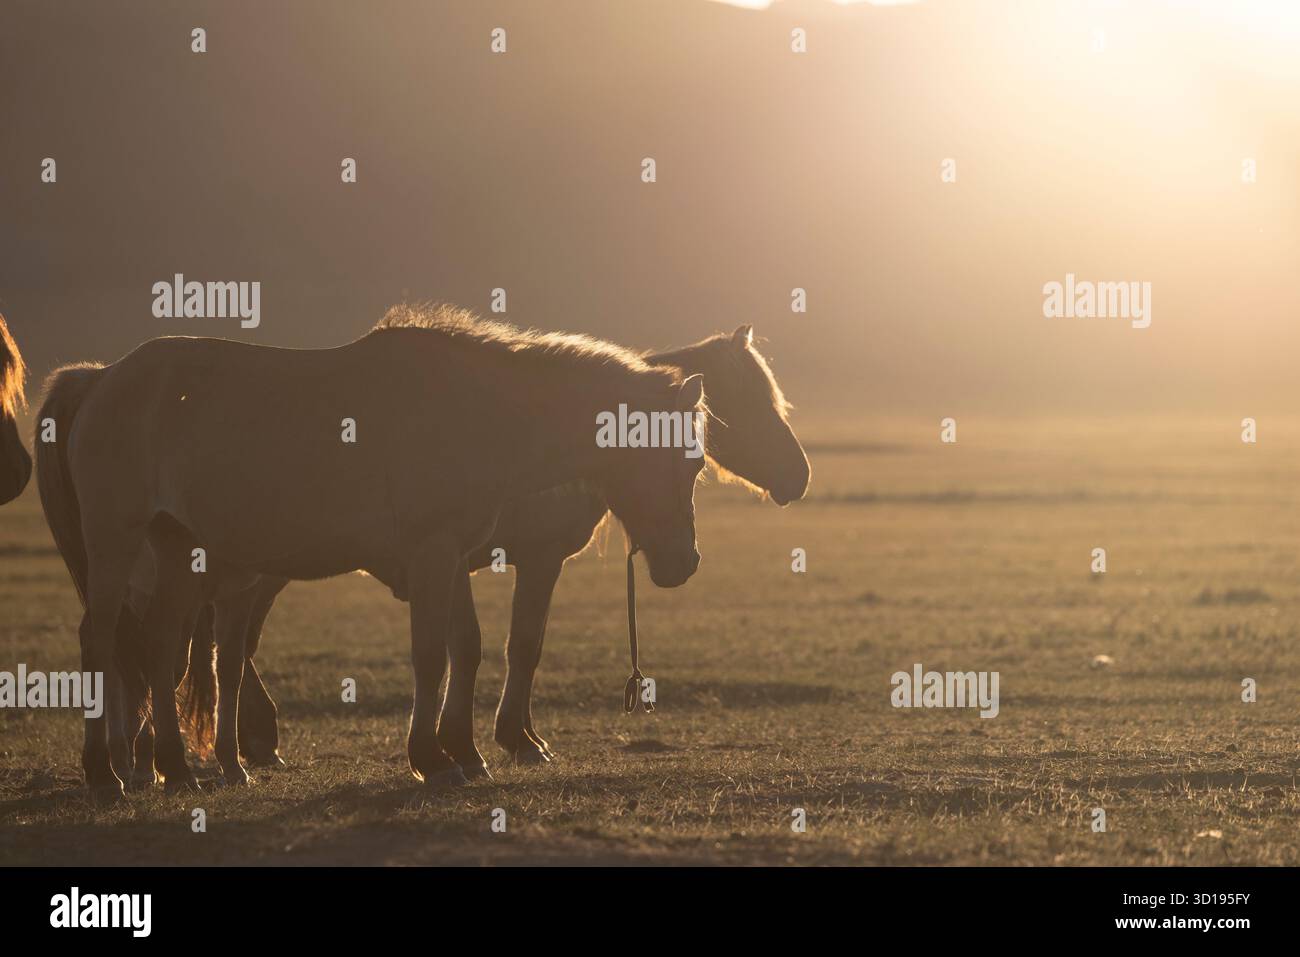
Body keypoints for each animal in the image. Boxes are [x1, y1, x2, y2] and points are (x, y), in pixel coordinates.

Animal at [35, 305, 708, 801]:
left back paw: (177, 770)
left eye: (696, 462)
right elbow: (432, 657)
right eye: (678, 459)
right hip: (117, 540)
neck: (474, 413)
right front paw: (434, 759)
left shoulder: (451, 558)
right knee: (101, 641)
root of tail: (100, 378)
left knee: (159, 648)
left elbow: (464, 649)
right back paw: (108, 775)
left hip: (178, 548)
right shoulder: (436, 554)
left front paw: (464, 750)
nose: (684, 564)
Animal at [175, 320, 810, 781]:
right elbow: (516, 646)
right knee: (232, 646)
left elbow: (479, 647)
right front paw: (506, 742)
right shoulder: (534, 561)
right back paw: (253, 740)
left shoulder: (465, 563)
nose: (798, 476)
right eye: (748, 403)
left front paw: (479, 742)